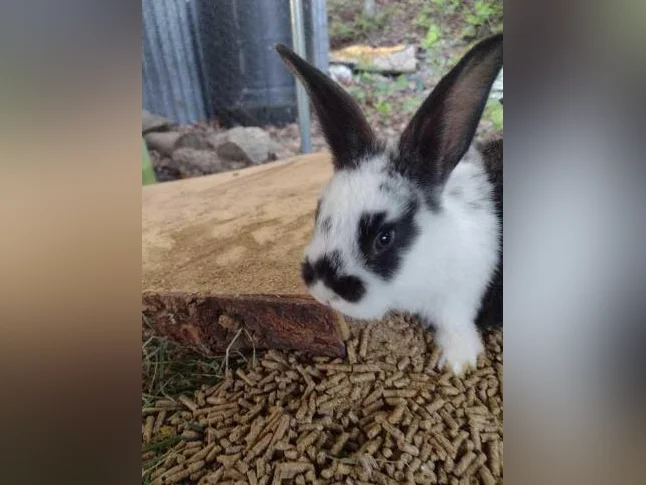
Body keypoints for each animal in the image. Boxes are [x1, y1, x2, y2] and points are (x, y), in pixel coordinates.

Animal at [275, 33, 503, 375]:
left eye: (384, 238)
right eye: (319, 213)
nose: (325, 293)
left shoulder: (460, 296)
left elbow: (456, 325)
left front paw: (458, 363)